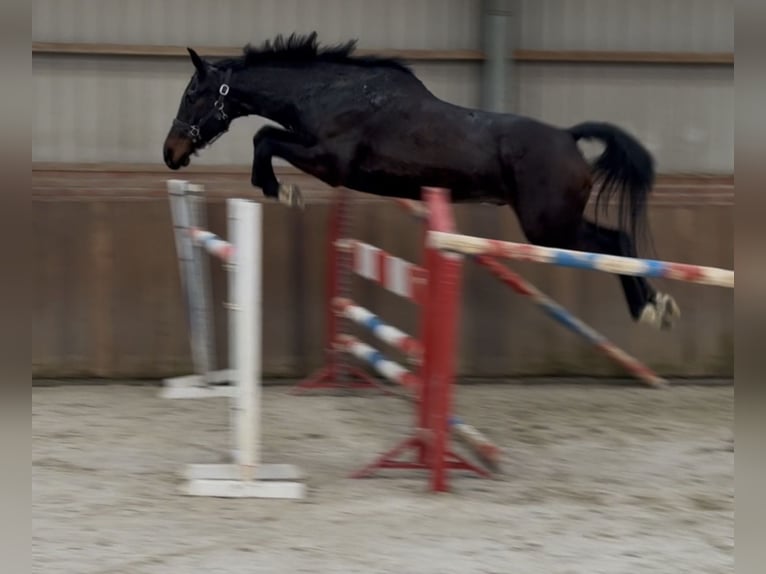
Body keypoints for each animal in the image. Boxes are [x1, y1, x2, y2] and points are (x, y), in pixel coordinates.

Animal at [163, 32, 679, 330]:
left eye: (192, 94)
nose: (170, 154)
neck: (331, 91)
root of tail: (568, 137)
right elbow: (266, 136)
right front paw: (277, 189)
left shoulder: (330, 163)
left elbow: (265, 138)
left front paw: (279, 191)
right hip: (553, 226)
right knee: (614, 242)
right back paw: (652, 308)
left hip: (548, 227)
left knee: (614, 241)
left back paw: (652, 308)